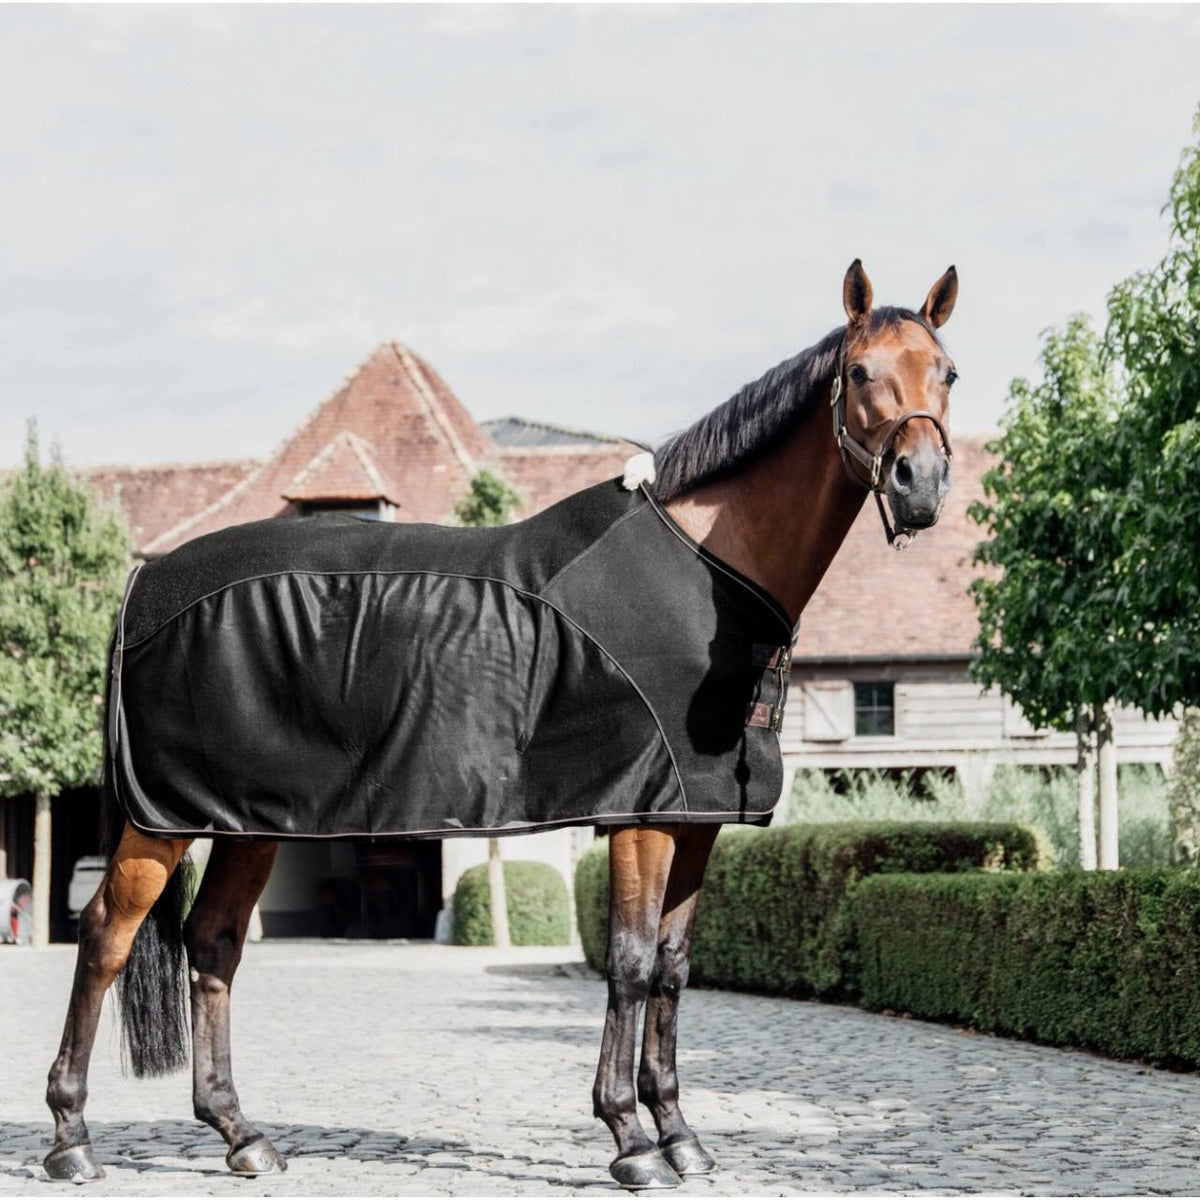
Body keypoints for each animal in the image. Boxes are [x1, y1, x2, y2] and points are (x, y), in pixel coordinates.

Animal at [43, 259, 958, 1189]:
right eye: (859, 373)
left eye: (947, 373)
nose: (919, 485)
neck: (705, 571)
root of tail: (143, 586)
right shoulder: (641, 818)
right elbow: (630, 963)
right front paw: (630, 1140)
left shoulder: (696, 819)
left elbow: (671, 970)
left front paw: (681, 1136)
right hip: (164, 822)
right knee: (106, 936)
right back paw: (72, 1140)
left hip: (248, 820)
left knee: (215, 943)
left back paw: (241, 1136)